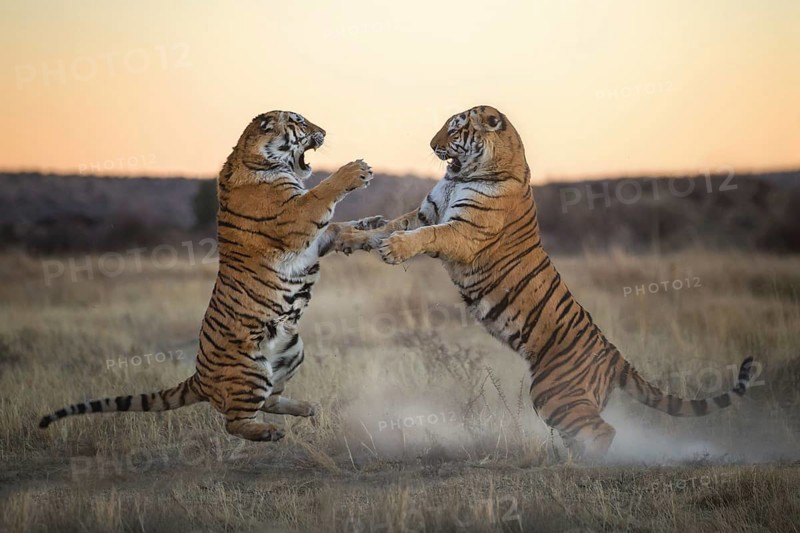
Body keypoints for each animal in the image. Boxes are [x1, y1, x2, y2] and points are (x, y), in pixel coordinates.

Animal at [40, 110, 383, 442]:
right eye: (299, 122)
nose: (323, 131)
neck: (258, 160)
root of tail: (199, 379)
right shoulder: (294, 220)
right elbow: (320, 195)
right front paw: (356, 171)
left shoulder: (315, 240)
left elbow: (342, 229)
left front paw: (375, 230)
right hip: (250, 370)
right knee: (236, 421)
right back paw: (269, 432)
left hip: (292, 350)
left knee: (270, 401)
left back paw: (308, 407)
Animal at [335, 105, 754, 459]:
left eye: (455, 128)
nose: (431, 144)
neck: (466, 174)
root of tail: (614, 355)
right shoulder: (427, 212)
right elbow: (390, 224)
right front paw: (348, 236)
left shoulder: (463, 232)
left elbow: (425, 236)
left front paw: (393, 249)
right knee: (586, 432)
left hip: (553, 392)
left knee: (604, 433)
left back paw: (582, 468)